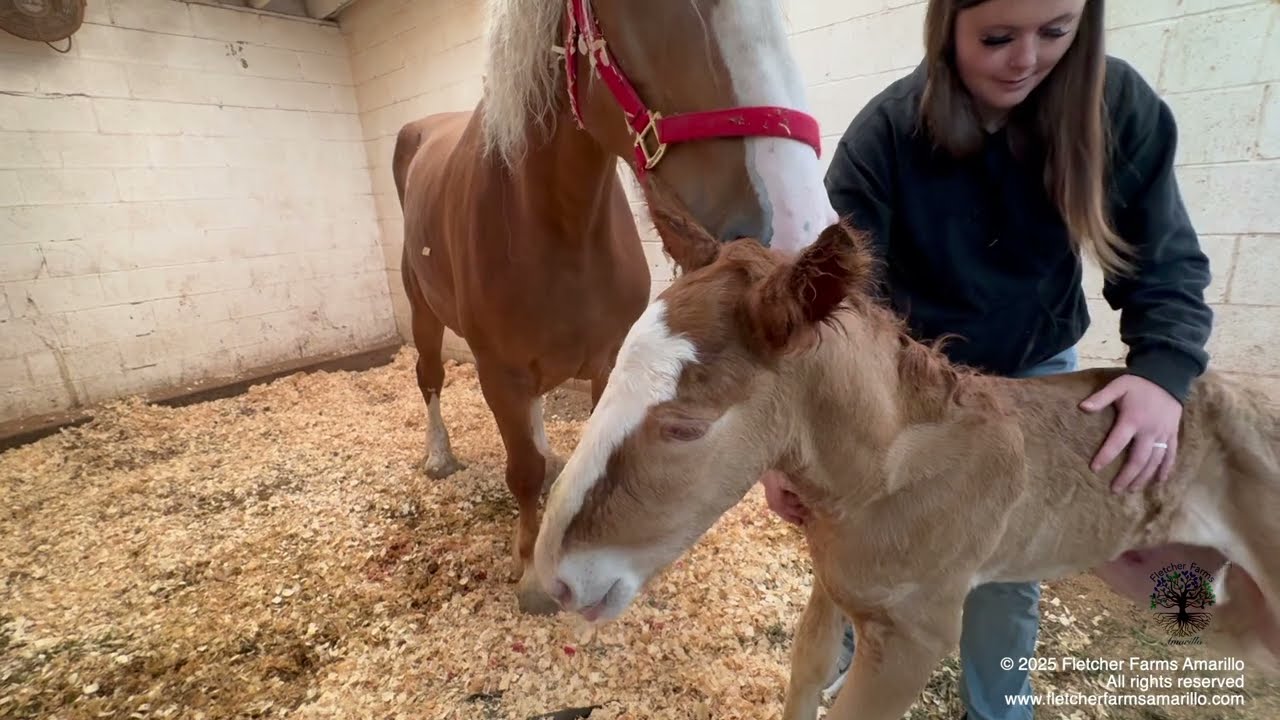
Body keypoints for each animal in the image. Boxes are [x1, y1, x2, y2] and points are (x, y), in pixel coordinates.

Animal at [392, 0, 836, 615]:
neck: (557, 224)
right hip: (424, 313)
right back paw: (438, 456)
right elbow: (522, 470)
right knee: (430, 376)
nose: (801, 225)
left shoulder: (607, 362)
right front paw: (531, 570)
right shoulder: (498, 372)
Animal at [530, 191, 1280, 718]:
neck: (886, 477)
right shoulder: (835, 590)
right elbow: (806, 677)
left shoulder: (916, 638)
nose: (556, 583)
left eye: (685, 428)